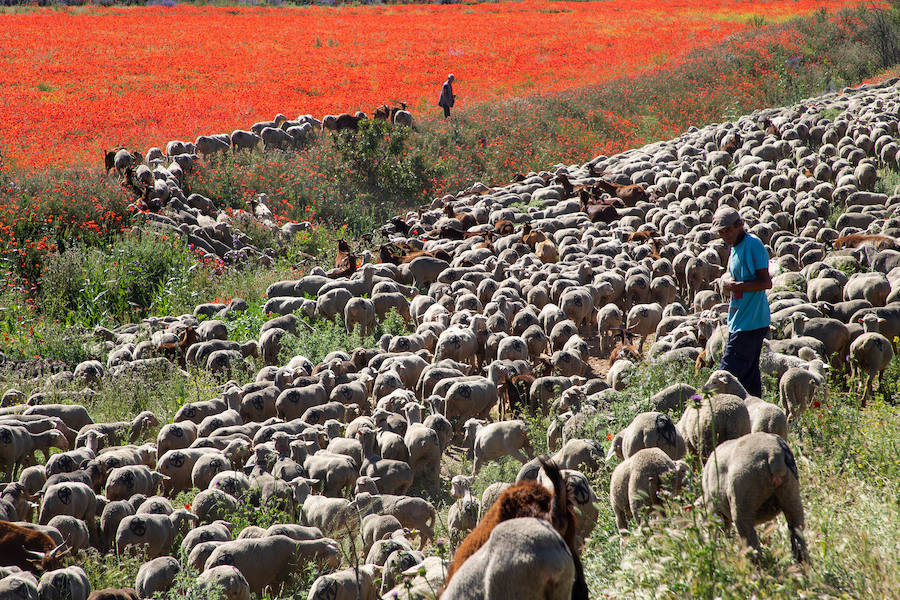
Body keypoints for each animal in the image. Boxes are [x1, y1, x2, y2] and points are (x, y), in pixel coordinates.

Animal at [700, 432, 804, 564]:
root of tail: (773, 453)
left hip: (742, 496)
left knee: (750, 539)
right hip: (791, 493)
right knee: (797, 531)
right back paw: (802, 564)